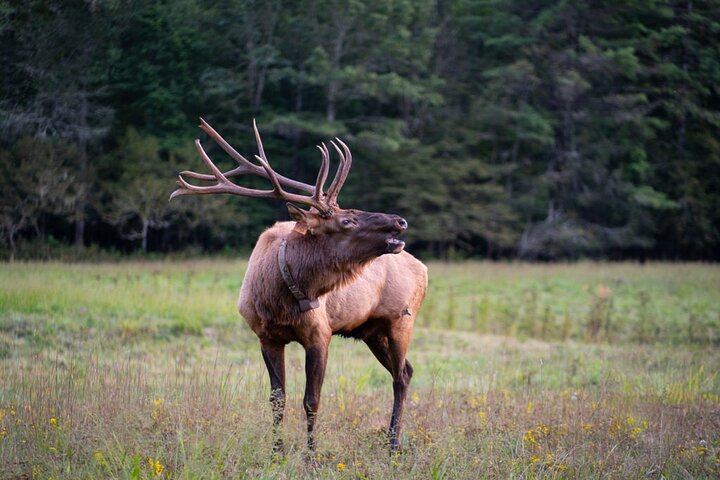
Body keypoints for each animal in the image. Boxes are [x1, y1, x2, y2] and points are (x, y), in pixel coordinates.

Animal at [170, 118, 427, 455]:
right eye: (347, 220)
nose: (400, 221)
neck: (278, 297)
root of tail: (423, 268)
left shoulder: (320, 333)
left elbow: (311, 401)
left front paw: (311, 455)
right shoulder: (266, 337)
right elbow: (277, 399)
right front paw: (276, 452)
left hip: (401, 319)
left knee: (399, 376)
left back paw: (394, 444)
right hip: (371, 330)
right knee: (406, 371)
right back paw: (390, 439)